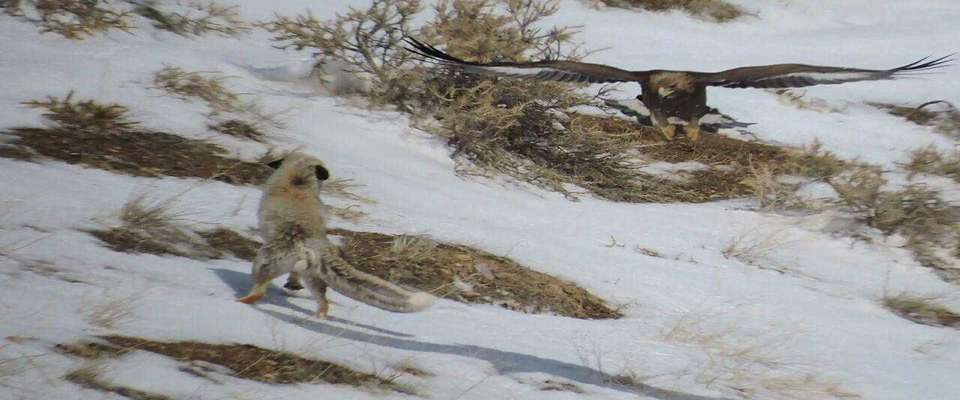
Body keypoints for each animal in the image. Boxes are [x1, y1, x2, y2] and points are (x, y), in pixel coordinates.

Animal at [236, 152, 436, 318]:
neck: (298, 182)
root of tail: (317, 247)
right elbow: (294, 276)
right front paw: (292, 284)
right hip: (314, 278)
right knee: (324, 304)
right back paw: (315, 318)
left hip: (263, 265)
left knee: (259, 292)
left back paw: (239, 302)